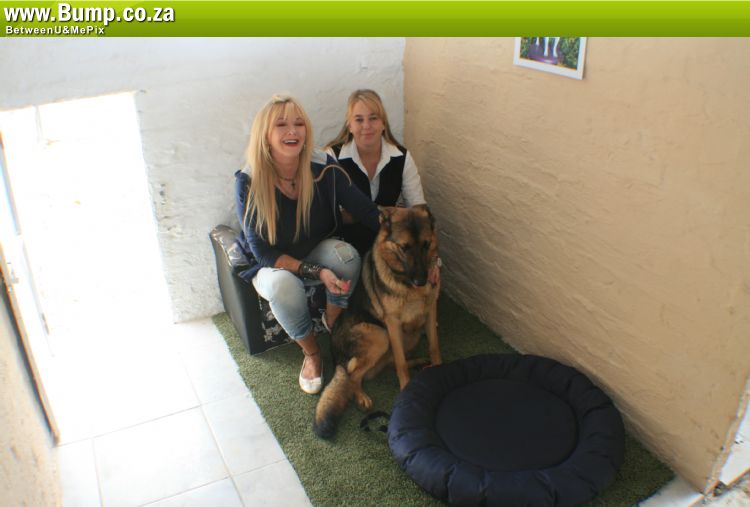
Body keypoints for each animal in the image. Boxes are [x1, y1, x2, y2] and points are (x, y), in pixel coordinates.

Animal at [313, 205, 441, 439]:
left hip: (412, 334)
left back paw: (419, 362)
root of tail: (336, 356)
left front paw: (439, 371)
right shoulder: (392, 324)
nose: (421, 280)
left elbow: (434, 347)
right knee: (353, 374)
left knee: (387, 363)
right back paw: (361, 396)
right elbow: (400, 364)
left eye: (426, 244)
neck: (406, 282)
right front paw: (406, 389)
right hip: (380, 336)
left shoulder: (430, 313)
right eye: (404, 247)